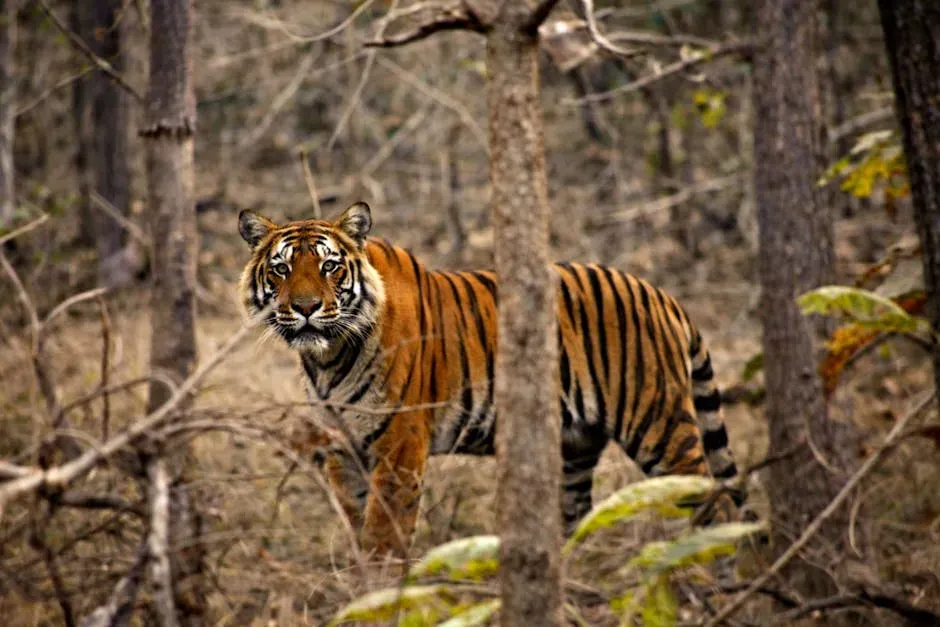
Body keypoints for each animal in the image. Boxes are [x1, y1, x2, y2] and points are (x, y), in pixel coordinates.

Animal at [238, 202, 743, 556]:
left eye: (330, 266)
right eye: (282, 268)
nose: (305, 308)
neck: (327, 357)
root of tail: (662, 295)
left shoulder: (400, 444)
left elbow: (384, 535)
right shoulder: (342, 447)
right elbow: (356, 526)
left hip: (658, 425)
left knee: (713, 499)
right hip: (576, 444)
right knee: (574, 514)